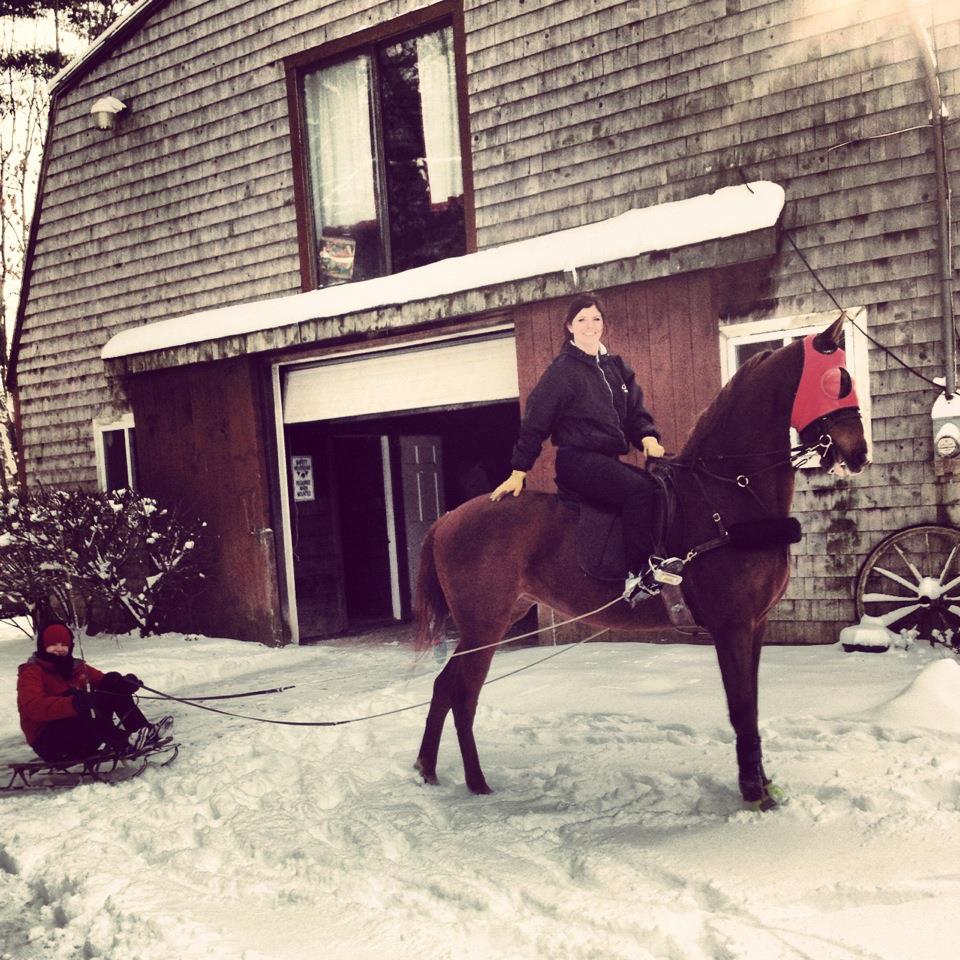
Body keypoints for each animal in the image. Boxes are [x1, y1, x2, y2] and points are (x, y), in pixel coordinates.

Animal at [412, 316, 872, 808]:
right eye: (836, 380)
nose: (859, 453)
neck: (727, 496)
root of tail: (447, 520)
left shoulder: (756, 624)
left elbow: (751, 702)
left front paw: (763, 784)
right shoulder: (731, 624)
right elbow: (742, 708)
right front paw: (755, 793)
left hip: (495, 619)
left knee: (444, 686)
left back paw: (427, 770)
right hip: (484, 624)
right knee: (464, 695)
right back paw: (476, 781)